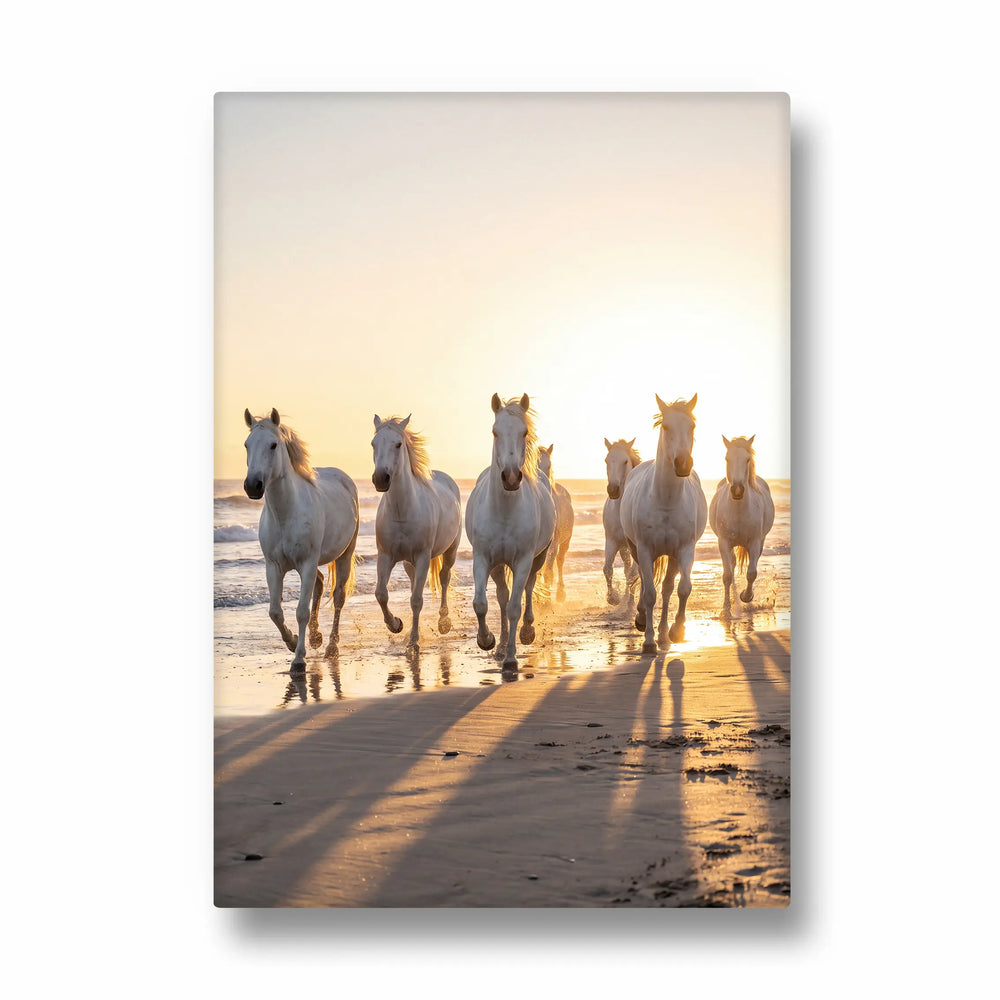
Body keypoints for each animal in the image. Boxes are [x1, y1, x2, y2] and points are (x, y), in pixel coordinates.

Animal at [243, 408, 359, 670]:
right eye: (246, 445)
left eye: (273, 445)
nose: (252, 486)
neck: (286, 514)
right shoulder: (274, 566)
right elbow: (275, 612)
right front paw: (293, 642)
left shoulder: (306, 564)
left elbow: (301, 611)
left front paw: (298, 659)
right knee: (319, 583)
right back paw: (316, 638)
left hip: (344, 555)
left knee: (338, 597)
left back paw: (331, 646)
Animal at [371, 414, 463, 657]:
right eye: (373, 444)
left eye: (398, 444)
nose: (380, 479)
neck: (402, 511)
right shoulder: (386, 556)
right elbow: (381, 594)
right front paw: (396, 625)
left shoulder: (422, 557)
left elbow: (417, 600)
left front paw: (413, 643)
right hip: (407, 562)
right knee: (414, 583)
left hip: (450, 550)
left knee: (444, 578)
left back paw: (443, 623)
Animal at [465, 393, 556, 670]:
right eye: (495, 432)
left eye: (524, 432)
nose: (512, 477)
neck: (504, 509)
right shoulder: (483, 558)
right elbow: (481, 603)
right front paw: (487, 640)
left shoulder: (524, 560)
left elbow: (516, 606)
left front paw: (511, 659)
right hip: (497, 564)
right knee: (502, 597)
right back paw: (501, 644)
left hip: (537, 558)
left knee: (528, 588)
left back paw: (526, 632)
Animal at [619, 394, 708, 654]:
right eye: (666, 427)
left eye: (692, 426)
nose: (683, 464)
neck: (666, 500)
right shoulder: (645, 549)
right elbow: (650, 593)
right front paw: (648, 641)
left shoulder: (685, 549)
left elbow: (683, 588)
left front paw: (676, 631)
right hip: (636, 549)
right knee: (642, 579)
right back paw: (642, 620)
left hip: (672, 555)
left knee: (668, 588)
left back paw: (664, 634)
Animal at [708, 434, 775, 611]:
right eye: (727, 458)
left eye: (747, 459)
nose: (737, 490)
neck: (738, 512)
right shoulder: (723, 542)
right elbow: (727, 574)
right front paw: (726, 607)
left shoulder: (755, 542)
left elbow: (752, 573)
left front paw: (746, 596)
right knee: (731, 565)